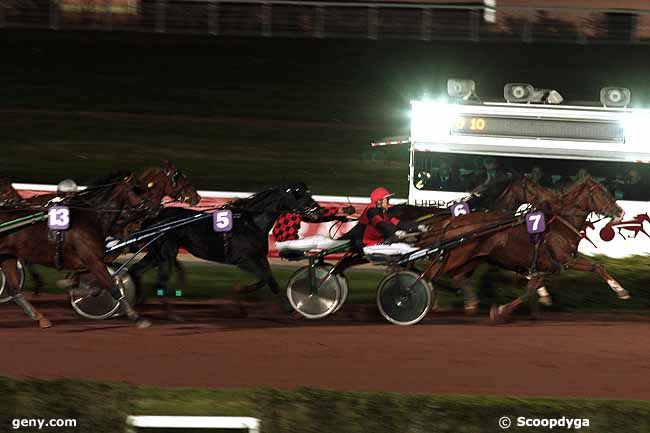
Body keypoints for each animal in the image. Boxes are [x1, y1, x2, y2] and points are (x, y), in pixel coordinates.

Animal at [0, 172, 154, 328]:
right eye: (136, 189)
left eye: (144, 187)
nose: (152, 207)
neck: (91, 218)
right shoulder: (92, 259)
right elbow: (112, 286)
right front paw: (137, 317)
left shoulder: (90, 260)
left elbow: (91, 280)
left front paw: (74, 285)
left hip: (8, 256)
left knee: (14, 289)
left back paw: (40, 318)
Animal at [128, 182, 322, 314]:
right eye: (300, 194)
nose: (318, 211)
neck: (250, 223)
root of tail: (153, 217)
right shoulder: (243, 260)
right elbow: (264, 278)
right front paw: (241, 292)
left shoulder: (259, 257)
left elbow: (271, 280)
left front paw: (290, 307)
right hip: (165, 253)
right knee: (157, 281)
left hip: (156, 254)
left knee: (135, 271)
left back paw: (138, 302)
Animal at [416, 176, 624, 320]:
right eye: (602, 193)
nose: (621, 212)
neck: (561, 226)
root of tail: (451, 223)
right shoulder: (559, 262)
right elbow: (529, 289)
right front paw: (500, 311)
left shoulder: (547, 266)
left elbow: (595, 267)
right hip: (456, 257)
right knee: (429, 276)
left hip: (469, 259)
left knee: (452, 277)